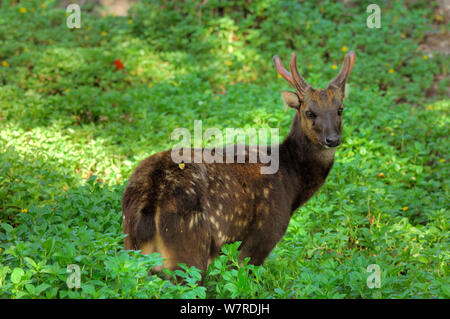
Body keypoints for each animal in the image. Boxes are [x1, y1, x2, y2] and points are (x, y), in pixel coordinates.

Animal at [122, 49, 356, 278]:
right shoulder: (265, 232)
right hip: (188, 246)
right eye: (309, 112)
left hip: (130, 243)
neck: (291, 183)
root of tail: (151, 200)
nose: (332, 139)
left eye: (340, 109)